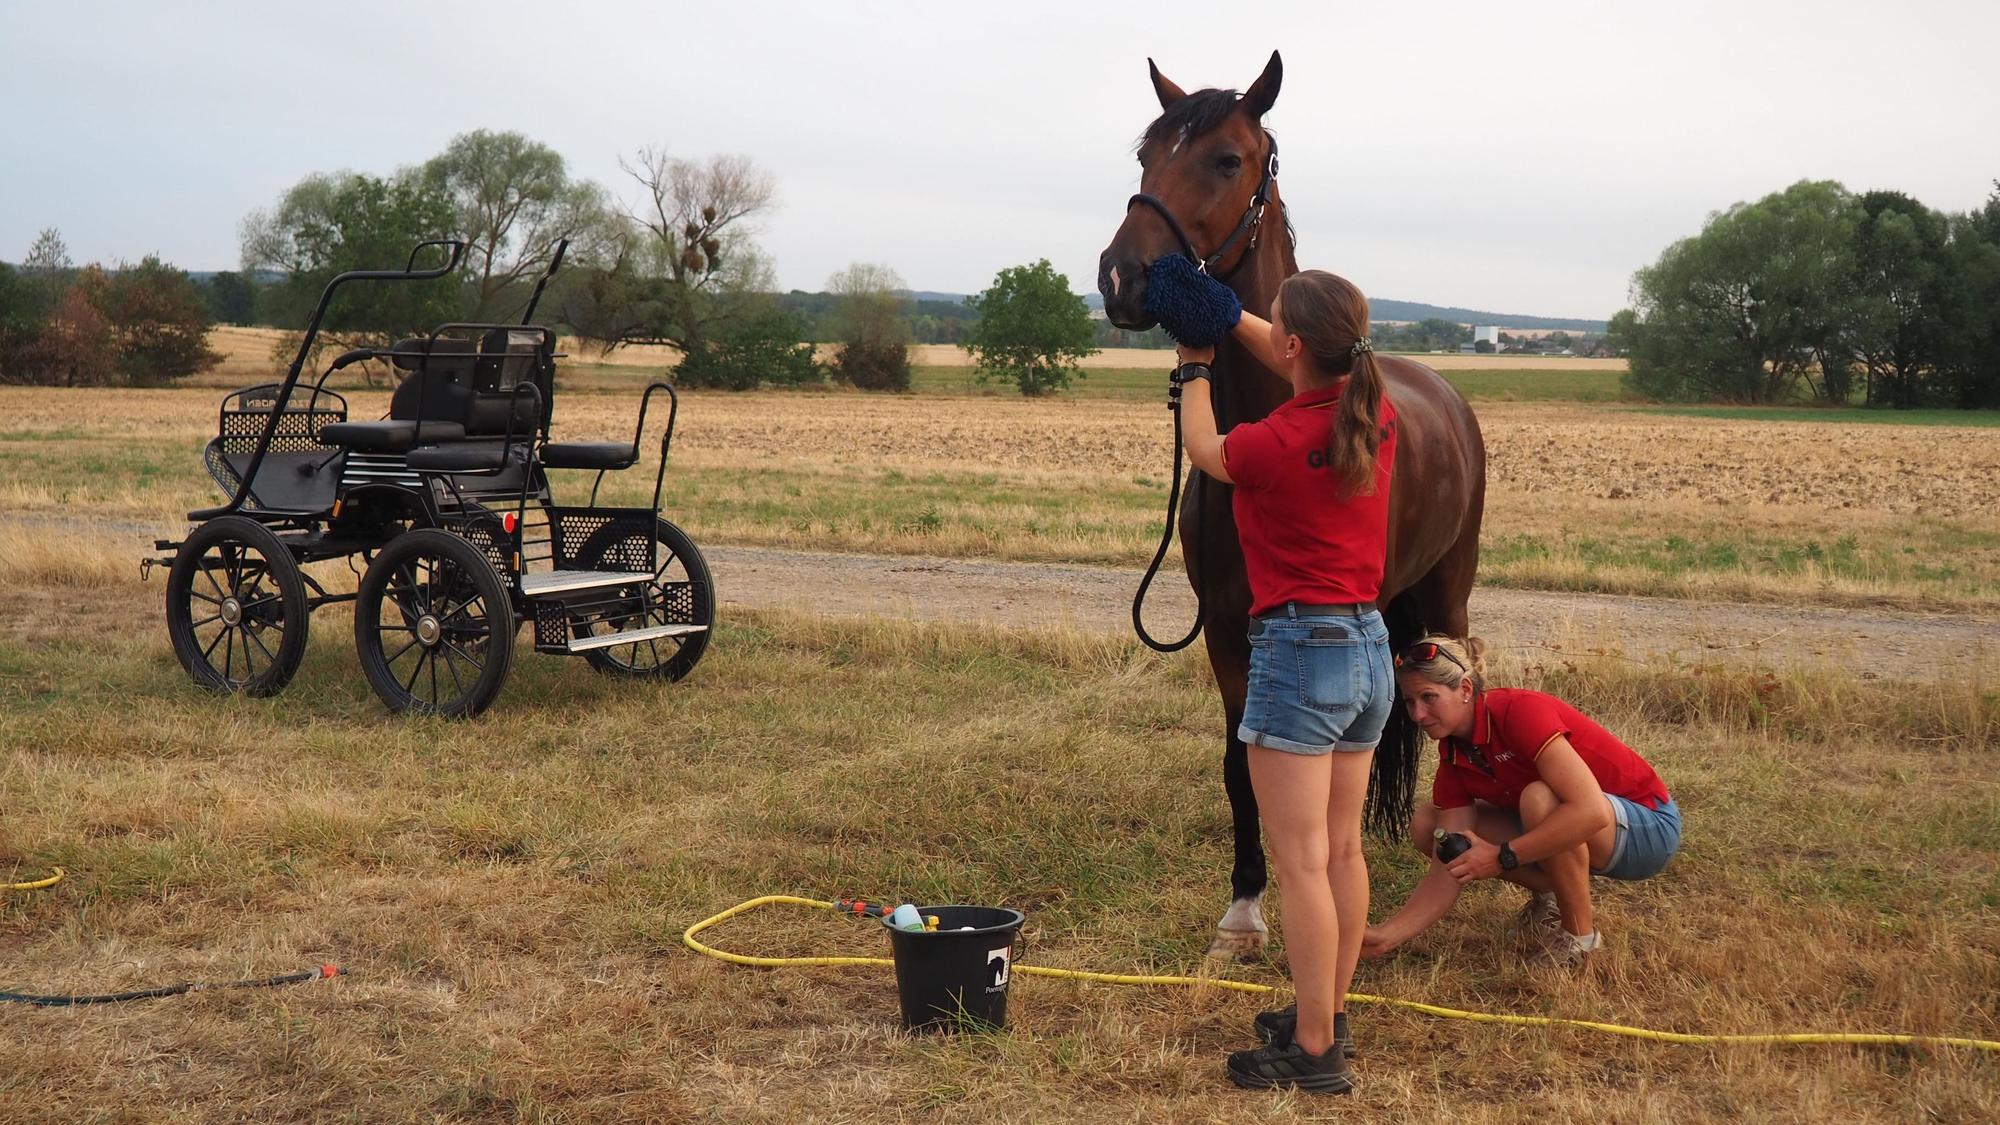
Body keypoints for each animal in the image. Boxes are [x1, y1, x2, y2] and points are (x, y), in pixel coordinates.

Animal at [1097, 51, 1487, 957]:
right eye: (1145, 156)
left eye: (1227, 159)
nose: (1122, 277)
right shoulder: (1227, 629)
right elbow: (1241, 765)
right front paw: (1244, 905)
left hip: (1444, 591)